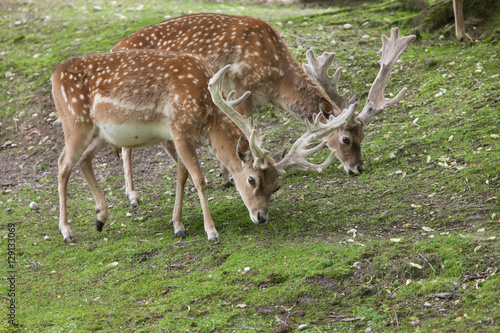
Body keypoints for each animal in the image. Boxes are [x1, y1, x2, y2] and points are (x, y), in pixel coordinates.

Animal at [51, 48, 356, 241]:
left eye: (277, 186)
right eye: (252, 180)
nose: (261, 217)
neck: (207, 117)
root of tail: (54, 74)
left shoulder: (179, 137)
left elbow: (181, 176)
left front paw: (178, 226)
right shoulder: (179, 128)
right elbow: (198, 178)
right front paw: (211, 232)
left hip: (101, 133)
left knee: (84, 160)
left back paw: (101, 217)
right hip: (75, 122)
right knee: (63, 164)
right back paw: (67, 231)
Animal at [112, 14, 414, 206]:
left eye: (363, 136)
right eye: (346, 139)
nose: (358, 168)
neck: (276, 79)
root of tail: (114, 46)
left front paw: (225, 175)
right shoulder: (241, 84)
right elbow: (246, 128)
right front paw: (230, 176)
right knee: (125, 145)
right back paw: (133, 196)